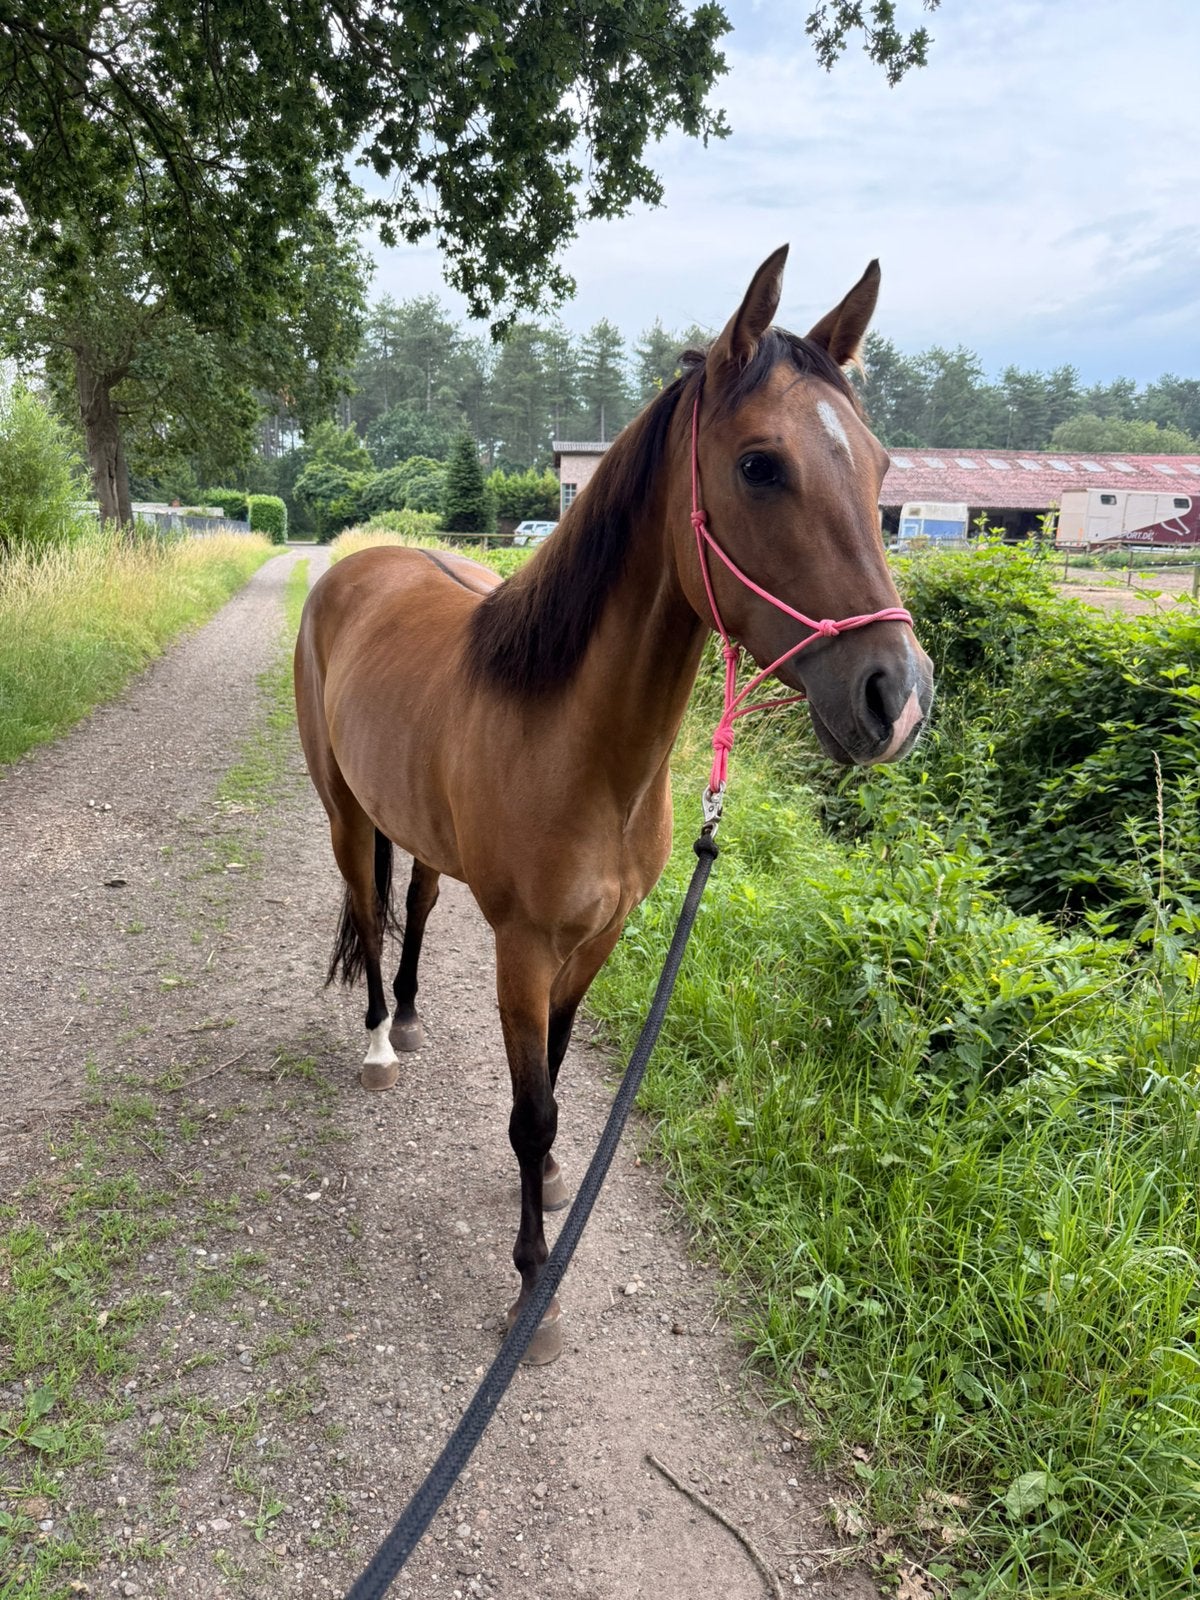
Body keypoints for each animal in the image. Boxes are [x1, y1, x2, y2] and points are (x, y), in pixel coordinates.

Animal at [294, 247, 935, 1363]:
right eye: (760, 464)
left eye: (882, 467)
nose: (896, 697)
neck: (580, 746)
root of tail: (359, 563)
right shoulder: (523, 949)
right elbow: (530, 1111)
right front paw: (532, 1284)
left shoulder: (597, 940)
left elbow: (553, 1077)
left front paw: (551, 1192)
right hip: (343, 810)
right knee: (368, 918)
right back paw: (378, 1040)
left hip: (419, 831)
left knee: (413, 903)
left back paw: (408, 1016)